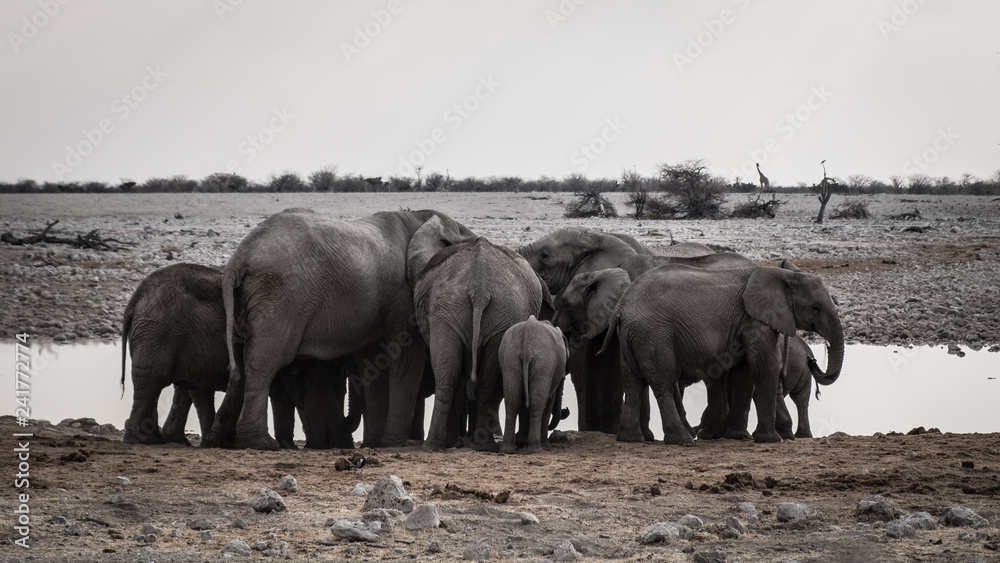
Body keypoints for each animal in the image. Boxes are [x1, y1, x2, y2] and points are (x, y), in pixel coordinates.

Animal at [204, 208, 476, 450]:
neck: (425, 219)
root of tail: (240, 256)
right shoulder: (404, 295)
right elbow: (407, 359)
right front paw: (392, 443)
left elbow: (373, 363)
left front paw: (374, 443)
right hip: (279, 297)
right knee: (265, 361)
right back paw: (261, 444)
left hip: (248, 297)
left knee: (240, 365)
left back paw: (219, 441)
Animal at [408, 217, 544, 451]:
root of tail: (479, 288)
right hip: (474, 310)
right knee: (466, 377)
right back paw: (471, 444)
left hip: (473, 311)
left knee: (452, 375)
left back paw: (445, 445)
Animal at [499, 316, 569, 454]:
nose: (565, 410)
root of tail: (528, 329)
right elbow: (549, 402)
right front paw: (545, 445)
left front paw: (521, 442)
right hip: (544, 362)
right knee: (538, 404)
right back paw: (537, 449)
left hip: (510, 358)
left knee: (512, 401)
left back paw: (507, 450)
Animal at [603, 264, 844, 444]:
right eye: (816, 308)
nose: (813, 360)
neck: (785, 274)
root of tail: (621, 307)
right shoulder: (755, 320)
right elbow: (766, 366)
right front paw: (771, 440)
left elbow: (745, 373)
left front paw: (738, 436)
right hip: (654, 336)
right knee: (663, 383)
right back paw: (682, 440)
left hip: (632, 336)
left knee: (633, 383)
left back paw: (631, 439)